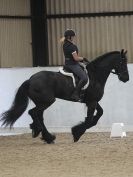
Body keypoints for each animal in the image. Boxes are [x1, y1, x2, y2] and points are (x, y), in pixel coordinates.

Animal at [0, 49, 129, 143]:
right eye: (122, 62)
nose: (126, 78)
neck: (95, 75)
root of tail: (30, 80)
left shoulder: (91, 101)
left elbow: (98, 115)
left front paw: (77, 131)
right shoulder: (92, 102)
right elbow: (89, 120)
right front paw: (76, 133)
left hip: (41, 102)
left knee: (38, 115)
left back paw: (45, 135)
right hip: (47, 101)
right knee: (33, 113)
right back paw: (42, 133)